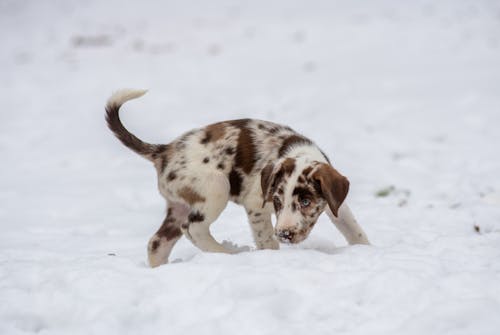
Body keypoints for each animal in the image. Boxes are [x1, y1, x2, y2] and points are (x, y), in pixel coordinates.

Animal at [105, 88, 370, 268]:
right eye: (277, 201)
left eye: (306, 202)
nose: (284, 234)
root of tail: (163, 151)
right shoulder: (257, 205)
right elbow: (267, 240)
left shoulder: (336, 203)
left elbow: (354, 230)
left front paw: (368, 250)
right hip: (216, 187)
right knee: (193, 228)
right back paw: (227, 254)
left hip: (178, 205)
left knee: (157, 243)